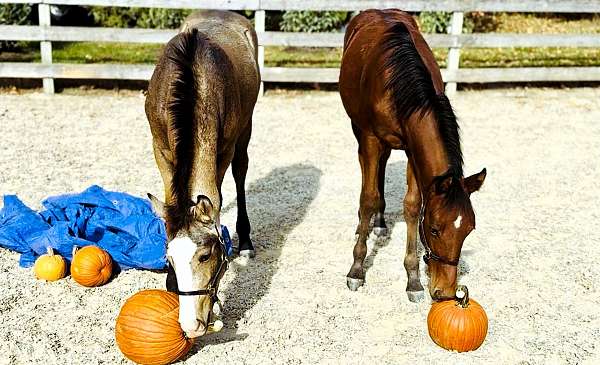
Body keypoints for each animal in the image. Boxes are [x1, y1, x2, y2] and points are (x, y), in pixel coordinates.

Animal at [145, 9, 260, 336]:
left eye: (206, 256)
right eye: (169, 257)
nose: (192, 325)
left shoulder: (222, 148)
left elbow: (216, 194)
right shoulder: (160, 149)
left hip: (246, 128)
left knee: (241, 171)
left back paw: (245, 242)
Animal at [338, 9, 488, 302]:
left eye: (469, 229)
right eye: (434, 229)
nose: (445, 291)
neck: (399, 81)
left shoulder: (412, 149)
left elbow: (411, 205)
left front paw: (413, 279)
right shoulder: (371, 138)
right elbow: (368, 198)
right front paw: (356, 269)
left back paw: (380, 223)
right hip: (358, 130)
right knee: (366, 170)